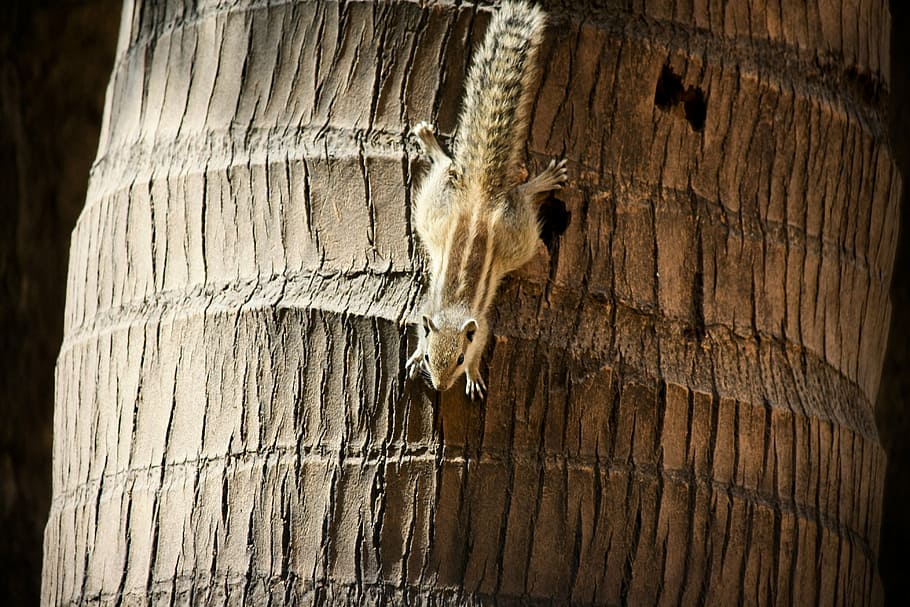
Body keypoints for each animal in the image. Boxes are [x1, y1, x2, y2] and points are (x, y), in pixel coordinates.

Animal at [406, 0, 567, 400]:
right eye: (431, 358)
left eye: (460, 359)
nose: (441, 387)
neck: (451, 312)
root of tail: (478, 197)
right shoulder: (426, 310)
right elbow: (418, 328)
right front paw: (413, 356)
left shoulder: (481, 326)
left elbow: (483, 344)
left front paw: (475, 375)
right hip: (436, 210)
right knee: (448, 166)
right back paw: (430, 143)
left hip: (517, 232)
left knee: (520, 194)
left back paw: (542, 181)